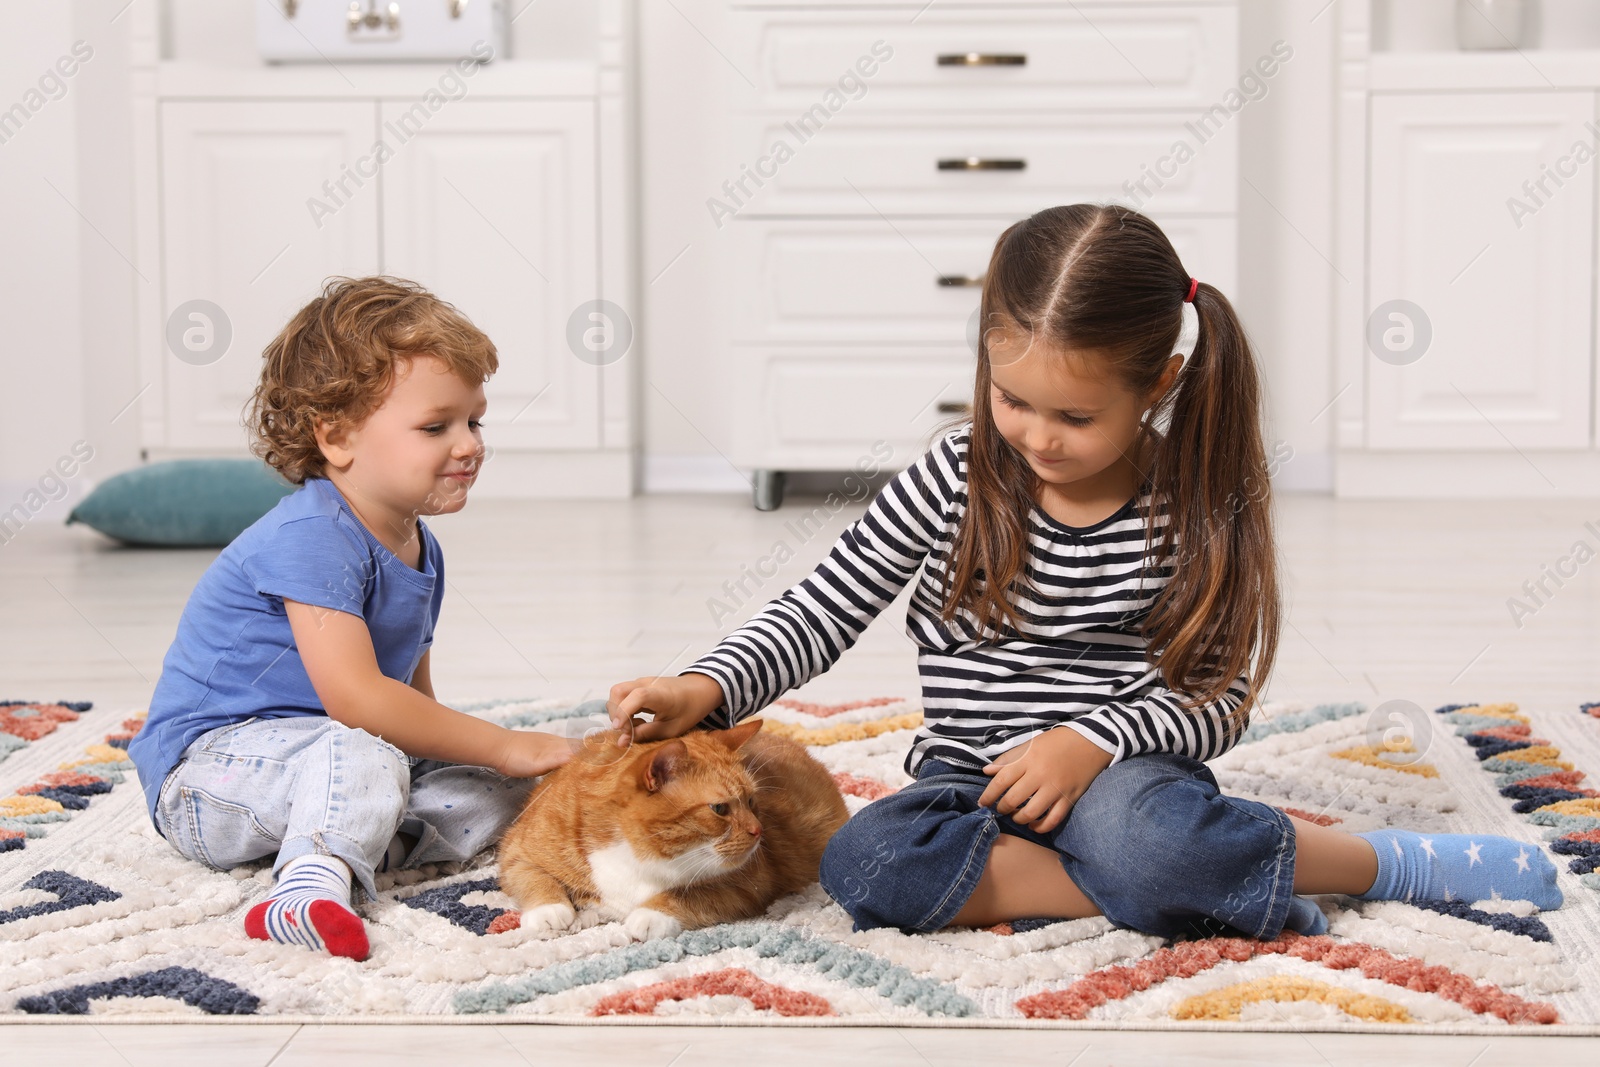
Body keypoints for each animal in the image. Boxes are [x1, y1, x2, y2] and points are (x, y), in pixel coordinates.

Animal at [499, 716, 851, 940]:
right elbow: (534, 877)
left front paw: (650, 915)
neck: (635, 855)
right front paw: (550, 910)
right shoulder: (516, 850)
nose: (758, 832)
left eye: (752, 801)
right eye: (720, 809)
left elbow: (687, 895)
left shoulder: (750, 882)